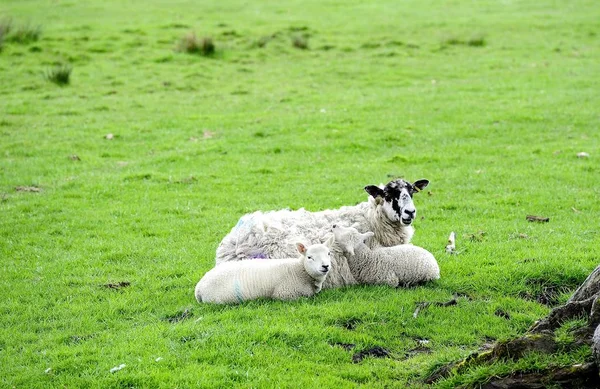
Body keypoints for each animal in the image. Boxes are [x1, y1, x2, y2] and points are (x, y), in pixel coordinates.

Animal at [198, 236, 336, 304]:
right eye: (309, 257)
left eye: (329, 253)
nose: (325, 266)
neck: (299, 269)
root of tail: (198, 288)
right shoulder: (284, 295)